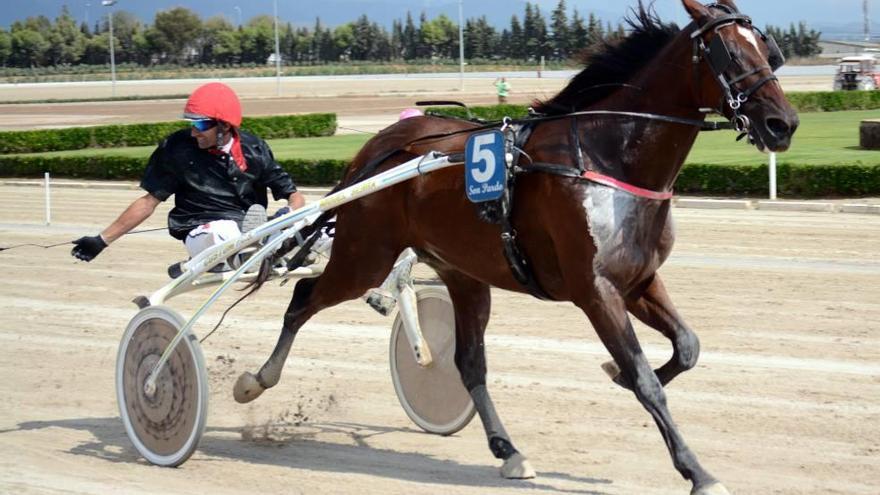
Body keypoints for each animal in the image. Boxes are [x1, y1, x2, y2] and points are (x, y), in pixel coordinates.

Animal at [234, 1, 796, 494]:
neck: (608, 157)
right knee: (303, 298)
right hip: (364, 256)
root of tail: (378, 147)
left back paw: (508, 450)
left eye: (768, 51)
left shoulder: (638, 280)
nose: (783, 124)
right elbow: (645, 379)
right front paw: (697, 471)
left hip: (461, 272)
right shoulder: (595, 291)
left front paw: (615, 373)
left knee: (468, 362)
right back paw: (255, 380)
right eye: (728, 52)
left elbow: (687, 346)